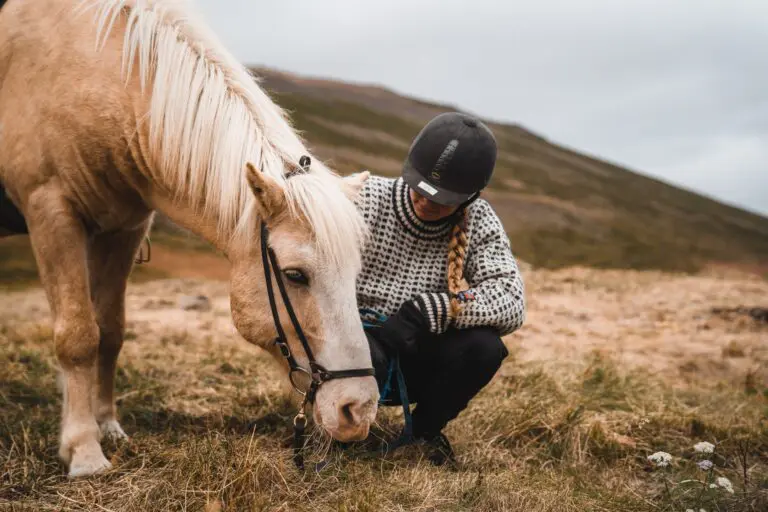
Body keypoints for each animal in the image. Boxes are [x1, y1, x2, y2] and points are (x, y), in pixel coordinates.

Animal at [0, 0, 379, 478]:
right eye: (295, 275)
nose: (359, 410)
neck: (94, 77)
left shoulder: (123, 230)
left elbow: (110, 332)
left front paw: (107, 427)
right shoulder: (51, 213)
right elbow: (78, 336)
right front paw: (84, 449)